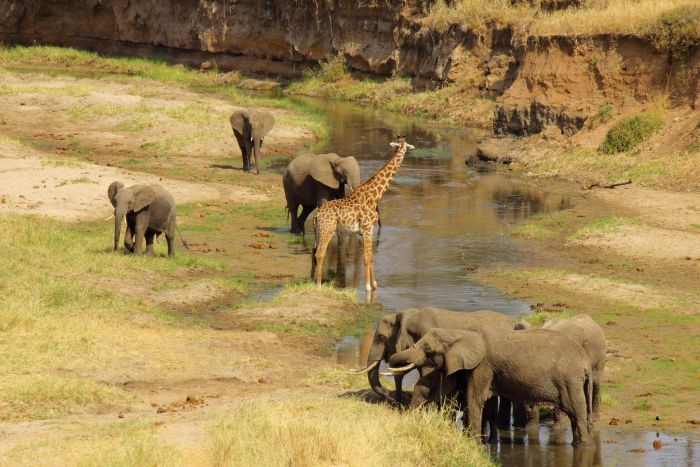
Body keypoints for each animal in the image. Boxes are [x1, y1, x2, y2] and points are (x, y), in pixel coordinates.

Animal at [314, 133, 416, 292]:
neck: (375, 195)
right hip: (327, 230)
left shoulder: (366, 230)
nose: (409, 152)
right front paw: (368, 287)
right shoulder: (367, 228)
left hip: (319, 231)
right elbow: (367, 257)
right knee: (320, 253)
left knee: (315, 252)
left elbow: (370, 256)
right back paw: (319, 285)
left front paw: (374, 284)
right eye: (406, 148)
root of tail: (316, 215)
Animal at [386, 328, 592, 448]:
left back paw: (583, 445)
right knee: (573, 412)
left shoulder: (482, 366)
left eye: (428, 350)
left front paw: (475, 444)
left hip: (570, 380)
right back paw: (577, 443)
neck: (463, 333)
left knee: (575, 410)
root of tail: (585, 360)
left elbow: (475, 399)